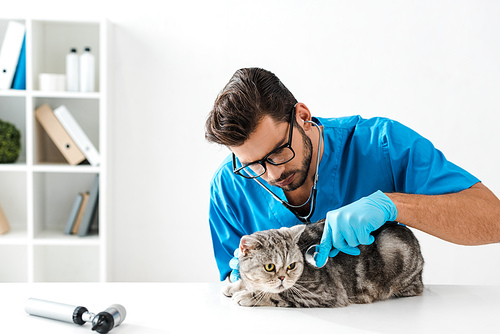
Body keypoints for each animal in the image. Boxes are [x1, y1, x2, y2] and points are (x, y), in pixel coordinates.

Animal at [225, 219, 424, 308]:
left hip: (391, 248)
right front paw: (234, 285)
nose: (282, 278)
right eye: (269, 267)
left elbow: (278, 295)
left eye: (291, 266)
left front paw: (247, 295)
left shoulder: (319, 293)